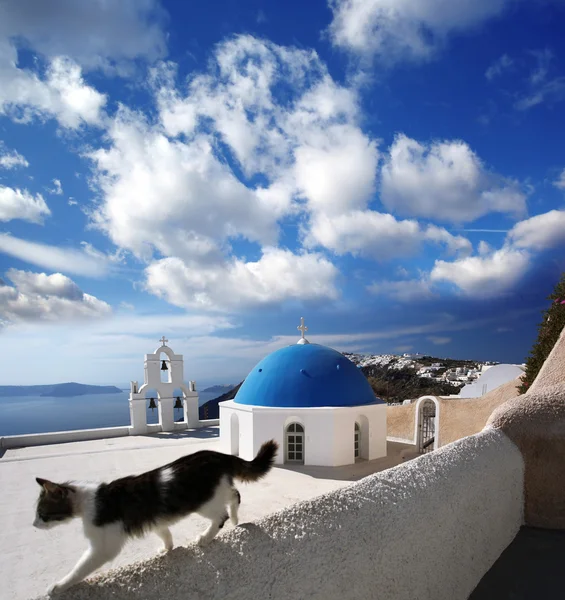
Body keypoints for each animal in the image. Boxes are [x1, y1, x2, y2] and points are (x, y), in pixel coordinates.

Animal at [32, 440, 278, 596]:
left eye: (42, 514)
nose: (34, 525)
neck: (90, 500)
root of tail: (217, 455)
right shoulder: (155, 519)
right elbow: (165, 533)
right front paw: (167, 549)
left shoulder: (103, 546)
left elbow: (79, 569)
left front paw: (59, 586)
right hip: (218, 490)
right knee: (235, 495)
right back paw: (236, 520)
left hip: (203, 502)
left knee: (221, 515)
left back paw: (205, 538)